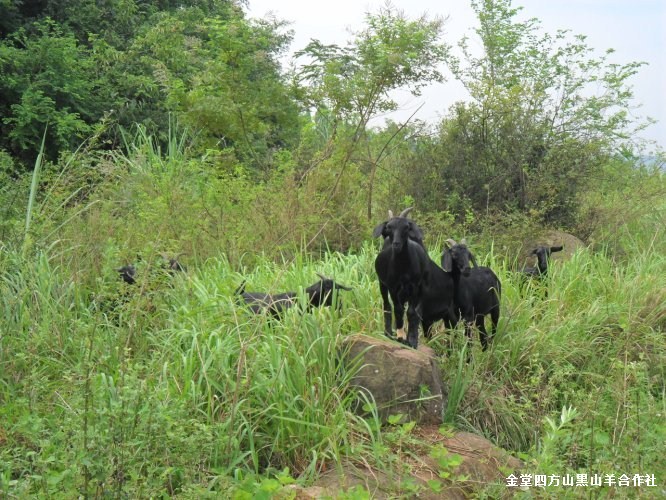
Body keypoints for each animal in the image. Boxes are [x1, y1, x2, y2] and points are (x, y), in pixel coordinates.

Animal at [370, 207, 428, 348]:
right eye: (389, 227)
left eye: (406, 227)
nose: (396, 244)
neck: (403, 267)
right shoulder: (393, 287)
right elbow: (398, 309)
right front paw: (400, 336)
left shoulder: (415, 287)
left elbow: (412, 312)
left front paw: (412, 340)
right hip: (382, 284)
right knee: (387, 305)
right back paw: (388, 332)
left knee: (417, 311)